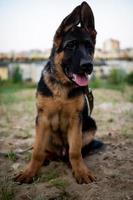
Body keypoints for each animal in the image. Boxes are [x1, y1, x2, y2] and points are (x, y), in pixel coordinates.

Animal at [14, 0, 97, 184]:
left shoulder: (76, 120)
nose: (88, 66)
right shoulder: (43, 118)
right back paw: (47, 158)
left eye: (89, 47)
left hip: (90, 125)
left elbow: (75, 151)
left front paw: (80, 171)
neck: (62, 86)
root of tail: (60, 153)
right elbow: (37, 151)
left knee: (74, 152)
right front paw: (30, 172)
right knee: (45, 151)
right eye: (71, 46)